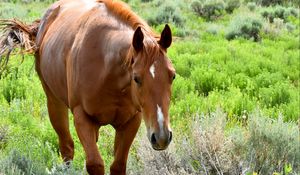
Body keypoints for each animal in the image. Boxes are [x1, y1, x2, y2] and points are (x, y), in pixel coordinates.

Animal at [0, 0, 176, 174]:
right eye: (136, 78)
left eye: (173, 76)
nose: (161, 137)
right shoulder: (82, 117)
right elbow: (95, 164)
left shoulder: (131, 121)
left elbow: (118, 165)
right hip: (54, 102)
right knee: (66, 147)